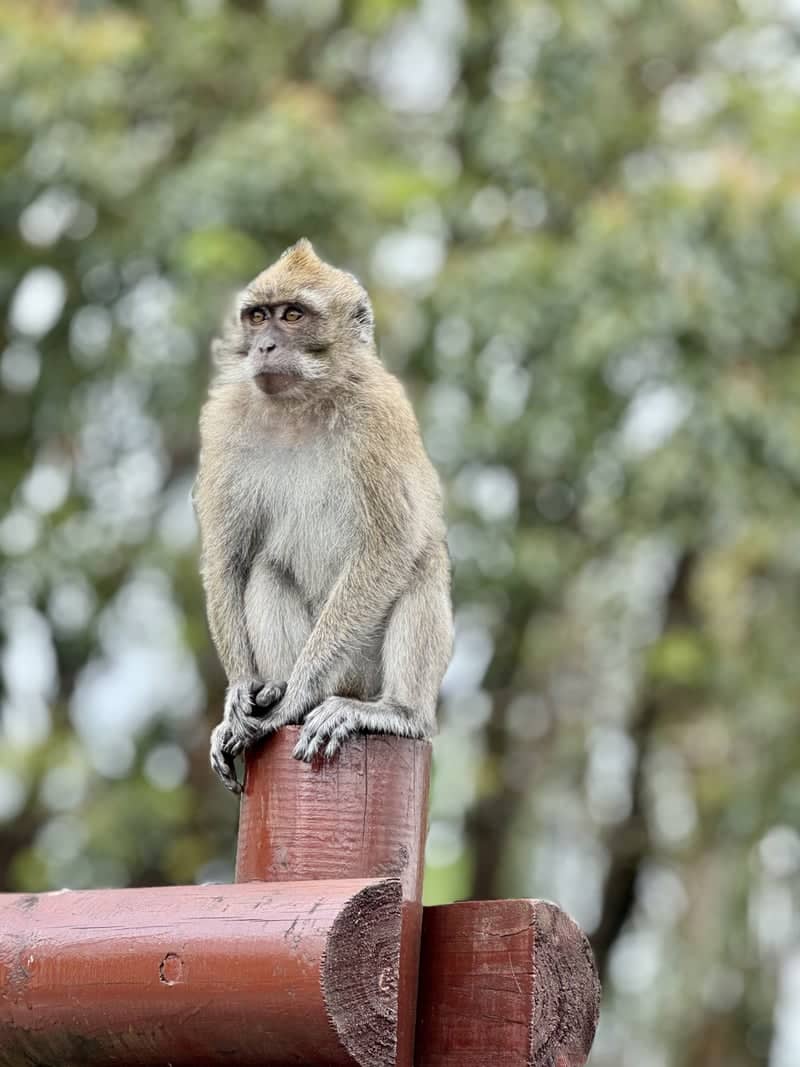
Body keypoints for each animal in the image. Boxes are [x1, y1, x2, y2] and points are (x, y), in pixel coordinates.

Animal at [193, 239, 453, 792]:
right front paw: (239, 694)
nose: (265, 347)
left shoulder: (380, 414)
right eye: (258, 317)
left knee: (421, 564)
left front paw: (297, 695)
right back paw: (274, 694)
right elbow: (228, 560)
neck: (301, 404)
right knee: (266, 571)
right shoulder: (226, 420)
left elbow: (391, 545)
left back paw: (390, 711)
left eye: (293, 315)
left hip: (360, 670)